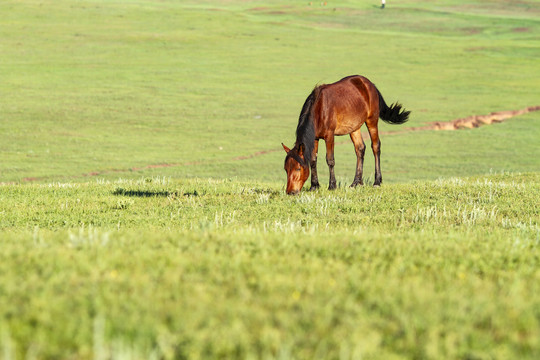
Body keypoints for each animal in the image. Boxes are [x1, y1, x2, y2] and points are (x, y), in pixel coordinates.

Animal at [282, 74, 410, 195]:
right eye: (286, 169)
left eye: (298, 168)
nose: (290, 192)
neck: (319, 109)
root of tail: (369, 84)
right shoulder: (315, 138)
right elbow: (313, 160)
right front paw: (314, 186)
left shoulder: (329, 136)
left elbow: (330, 160)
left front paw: (332, 186)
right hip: (354, 128)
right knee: (360, 149)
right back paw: (356, 183)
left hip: (372, 121)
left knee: (375, 146)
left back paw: (377, 182)